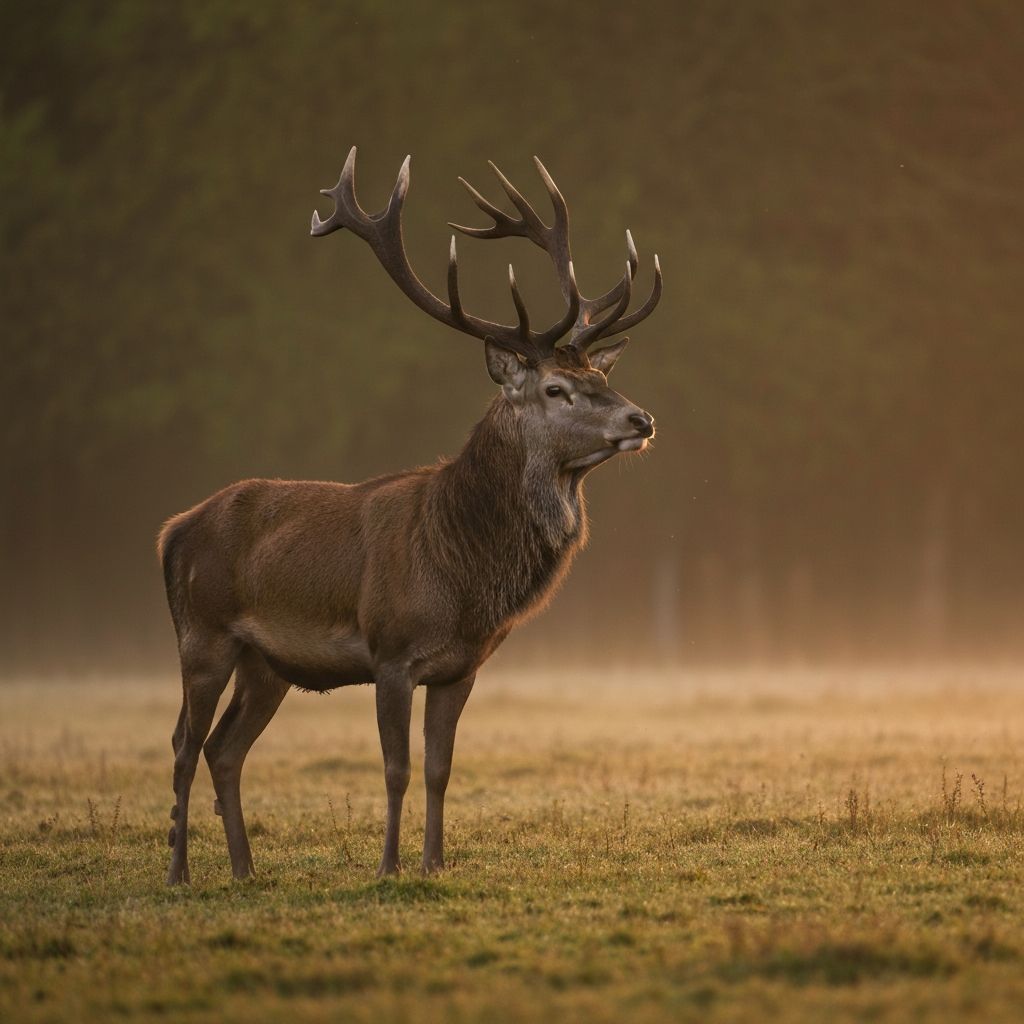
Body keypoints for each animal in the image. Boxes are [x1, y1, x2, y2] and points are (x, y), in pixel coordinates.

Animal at [158, 147, 661, 885]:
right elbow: (395, 768)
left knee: (226, 748)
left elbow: (439, 769)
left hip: (266, 663)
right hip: (202, 634)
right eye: (555, 388)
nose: (640, 419)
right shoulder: (391, 652)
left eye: (602, 378)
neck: (461, 572)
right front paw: (389, 867)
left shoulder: (462, 666)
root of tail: (172, 531)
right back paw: (179, 872)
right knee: (183, 743)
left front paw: (435, 864)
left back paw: (246, 871)